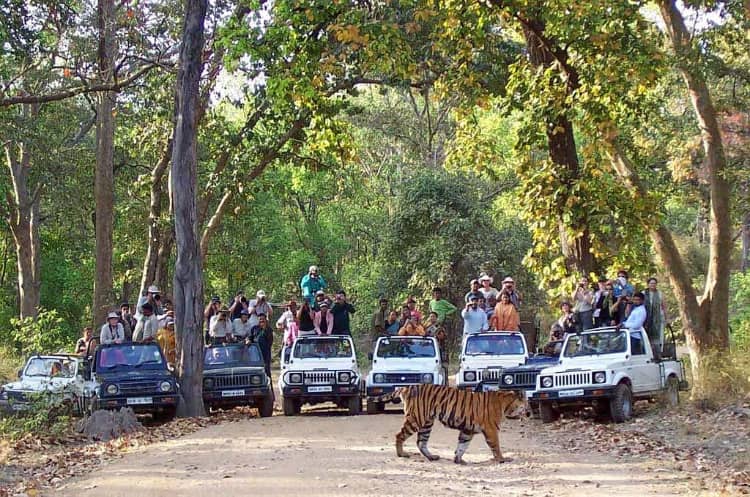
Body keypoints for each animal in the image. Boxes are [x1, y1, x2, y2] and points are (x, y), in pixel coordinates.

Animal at [382, 384, 524, 462]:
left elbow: (462, 445)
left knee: (421, 442)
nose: (527, 413)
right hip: (416, 419)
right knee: (399, 435)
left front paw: (458, 460)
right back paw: (401, 454)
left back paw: (432, 457)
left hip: (427, 423)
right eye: (525, 404)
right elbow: (496, 446)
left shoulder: (468, 430)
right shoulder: (491, 429)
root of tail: (407, 387)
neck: (505, 403)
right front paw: (502, 459)